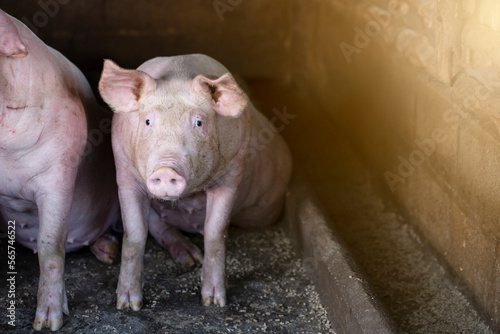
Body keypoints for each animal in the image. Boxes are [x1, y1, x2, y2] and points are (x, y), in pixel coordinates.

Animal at [97, 53, 292, 310]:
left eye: (198, 123)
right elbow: (135, 234)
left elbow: (215, 232)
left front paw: (214, 301)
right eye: (147, 121)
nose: (166, 169)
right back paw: (188, 258)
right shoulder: (124, 171)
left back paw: (195, 261)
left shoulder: (232, 173)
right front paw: (128, 305)